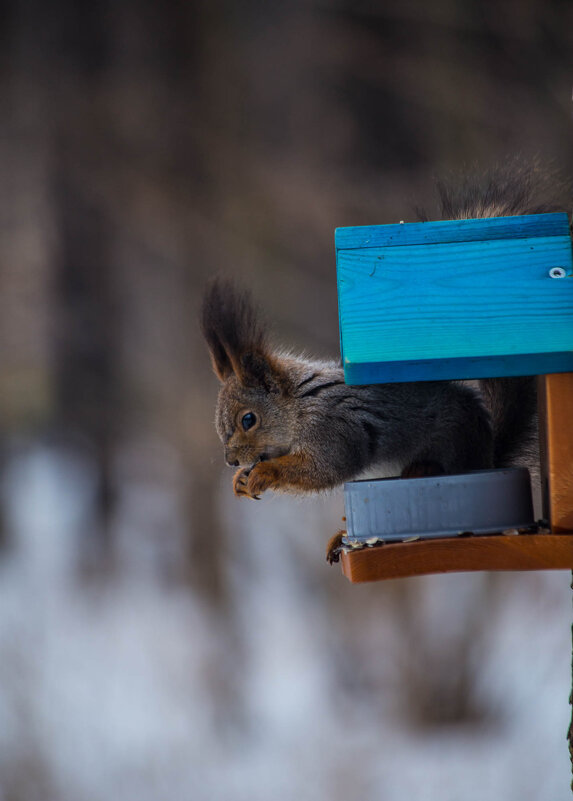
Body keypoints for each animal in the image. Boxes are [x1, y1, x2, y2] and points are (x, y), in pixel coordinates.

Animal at [200, 162, 564, 504]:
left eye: (249, 419)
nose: (231, 462)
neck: (300, 405)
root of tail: (488, 455)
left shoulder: (334, 429)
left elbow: (321, 469)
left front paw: (265, 473)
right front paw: (240, 481)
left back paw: (425, 467)